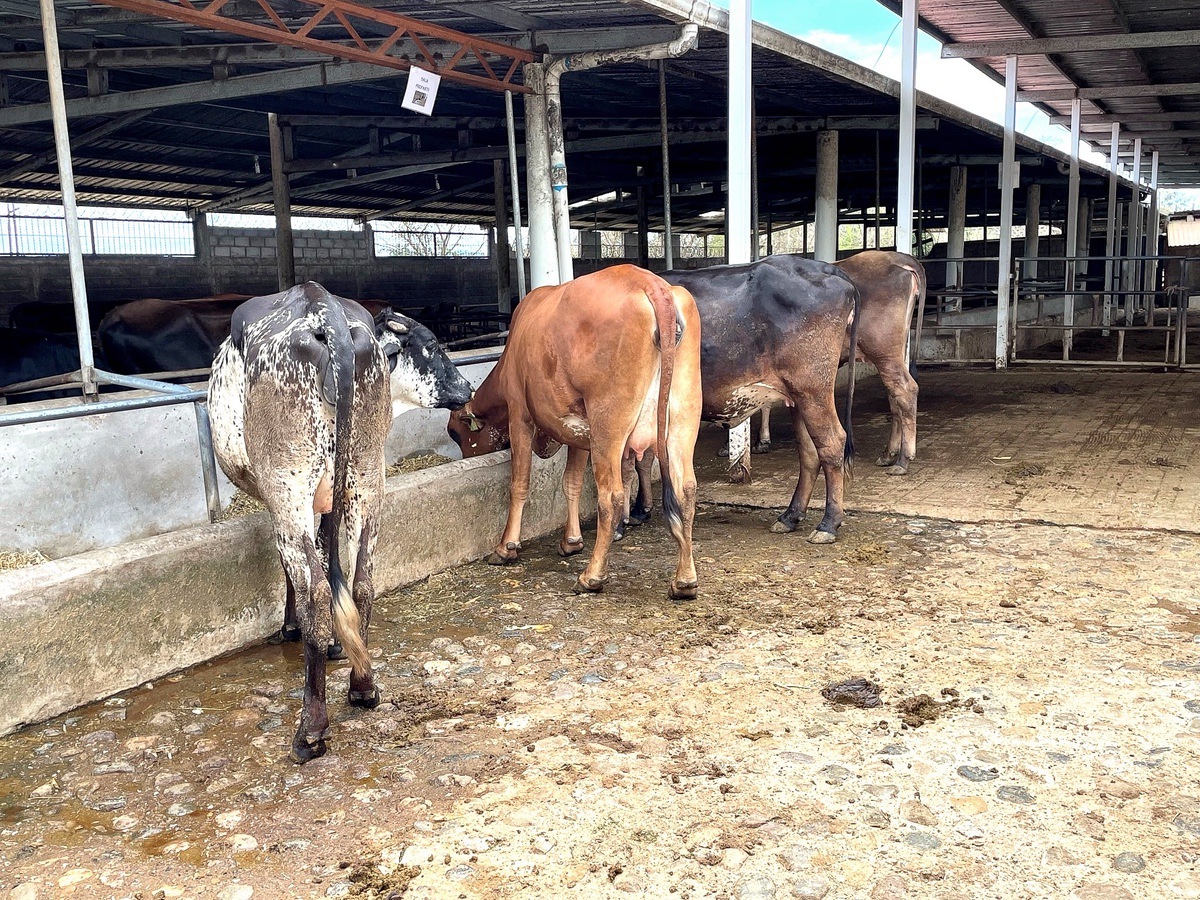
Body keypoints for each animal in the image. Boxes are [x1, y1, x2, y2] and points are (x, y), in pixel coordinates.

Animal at [206, 282, 468, 763]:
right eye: (432, 346)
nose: (467, 386)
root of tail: (320, 306)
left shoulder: (287, 498)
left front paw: (293, 629)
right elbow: (333, 555)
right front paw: (336, 645)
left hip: (288, 483)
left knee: (314, 586)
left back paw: (310, 730)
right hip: (367, 476)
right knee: (362, 580)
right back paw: (363, 686)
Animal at [451, 262, 700, 600]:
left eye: (457, 434)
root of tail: (650, 283)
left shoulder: (520, 415)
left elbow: (520, 482)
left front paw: (506, 547)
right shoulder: (580, 433)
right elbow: (571, 483)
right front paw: (571, 541)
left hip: (608, 423)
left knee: (611, 497)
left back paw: (592, 576)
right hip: (682, 420)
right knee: (685, 489)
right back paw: (684, 580)